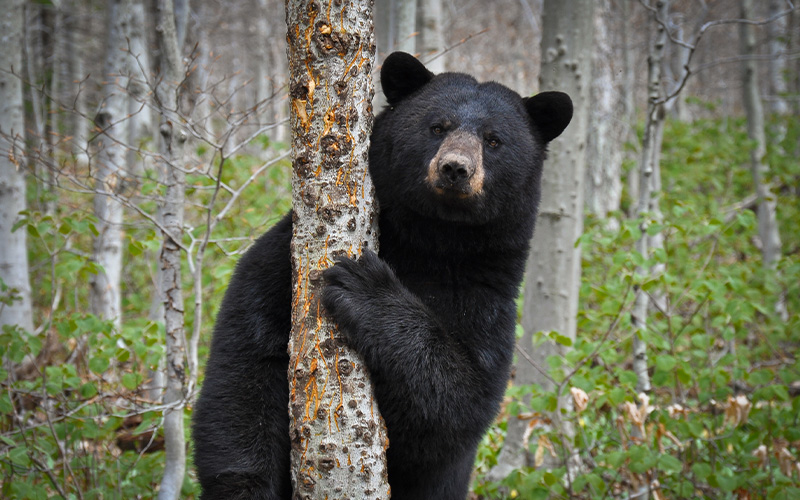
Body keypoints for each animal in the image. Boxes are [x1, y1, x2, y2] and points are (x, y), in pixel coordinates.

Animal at [193, 52, 568, 498]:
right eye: (437, 126)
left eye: (493, 140)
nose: (455, 168)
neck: (432, 241)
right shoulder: (280, 262)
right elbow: (246, 363)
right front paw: (247, 486)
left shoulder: (487, 299)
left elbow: (458, 406)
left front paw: (366, 288)